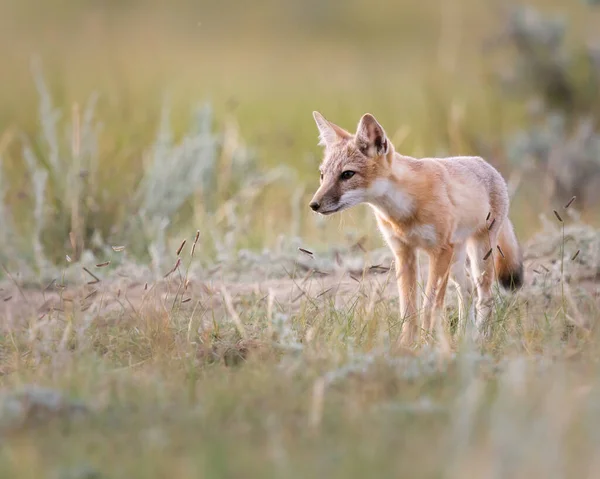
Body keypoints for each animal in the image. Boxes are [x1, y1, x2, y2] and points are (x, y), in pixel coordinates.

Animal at [310, 111, 520, 344]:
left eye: (347, 174)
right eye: (322, 175)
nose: (314, 205)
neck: (403, 212)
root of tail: (484, 163)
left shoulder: (439, 252)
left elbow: (430, 306)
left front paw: (426, 342)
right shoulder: (404, 253)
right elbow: (408, 309)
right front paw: (407, 345)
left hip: (478, 256)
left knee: (484, 297)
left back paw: (480, 337)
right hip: (455, 260)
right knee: (466, 290)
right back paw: (463, 338)